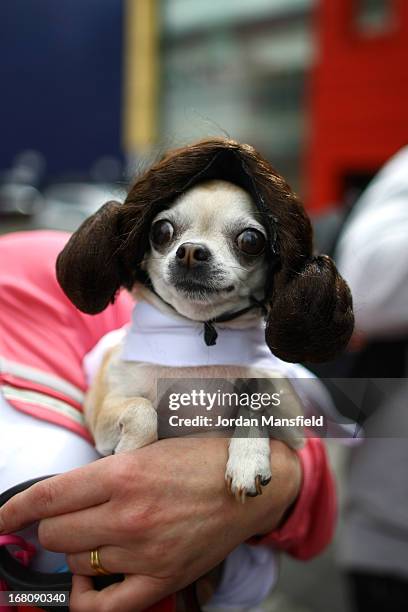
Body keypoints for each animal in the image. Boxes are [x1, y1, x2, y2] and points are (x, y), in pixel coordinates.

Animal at [55, 140, 354, 502]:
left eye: (251, 241)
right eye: (161, 231)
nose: (190, 251)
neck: (197, 337)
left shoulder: (292, 428)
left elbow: (254, 402)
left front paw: (248, 460)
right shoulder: (101, 408)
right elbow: (143, 411)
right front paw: (127, 452)